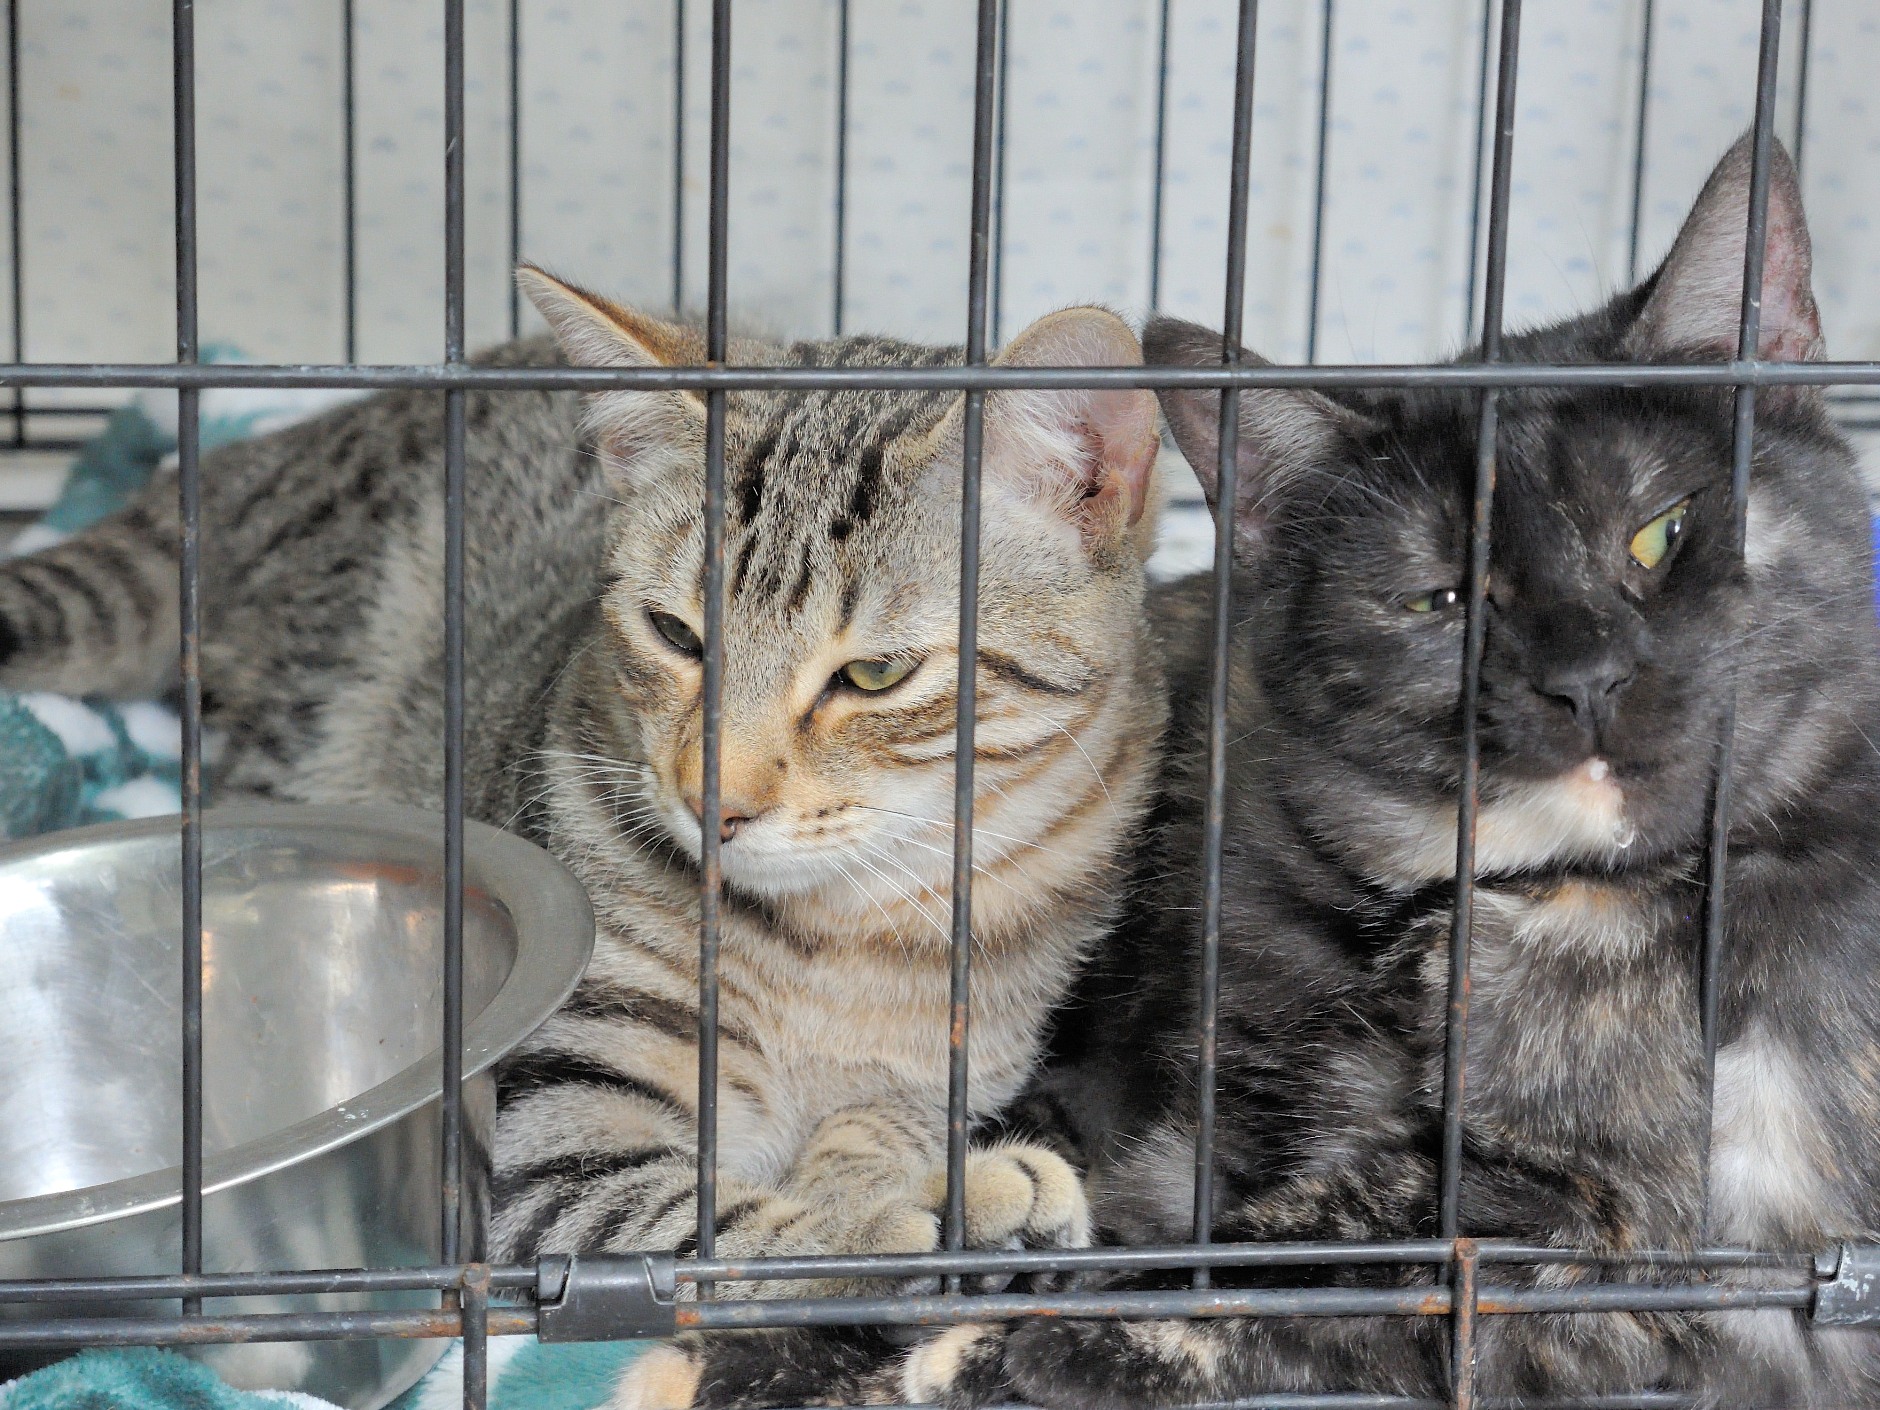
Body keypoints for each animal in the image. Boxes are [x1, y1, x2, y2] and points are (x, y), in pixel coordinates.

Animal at [0, 274, 1170, 1398]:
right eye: (674, 633)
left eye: (874, 674)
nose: (712, 800)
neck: (844, 934)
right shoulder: (553, 1133)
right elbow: (701, 1228)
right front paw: (907, 1224)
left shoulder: (935, 1078)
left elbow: (868, 1137)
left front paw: (918, 1188)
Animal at [890, 134, 1880, 1410]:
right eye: (1437, 599)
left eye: (1656, 533)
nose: (1584, 676)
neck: (1451, 925)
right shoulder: (1216, 1101)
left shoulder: (1615, 1241)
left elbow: (1304, 1261)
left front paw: (999, 1342)